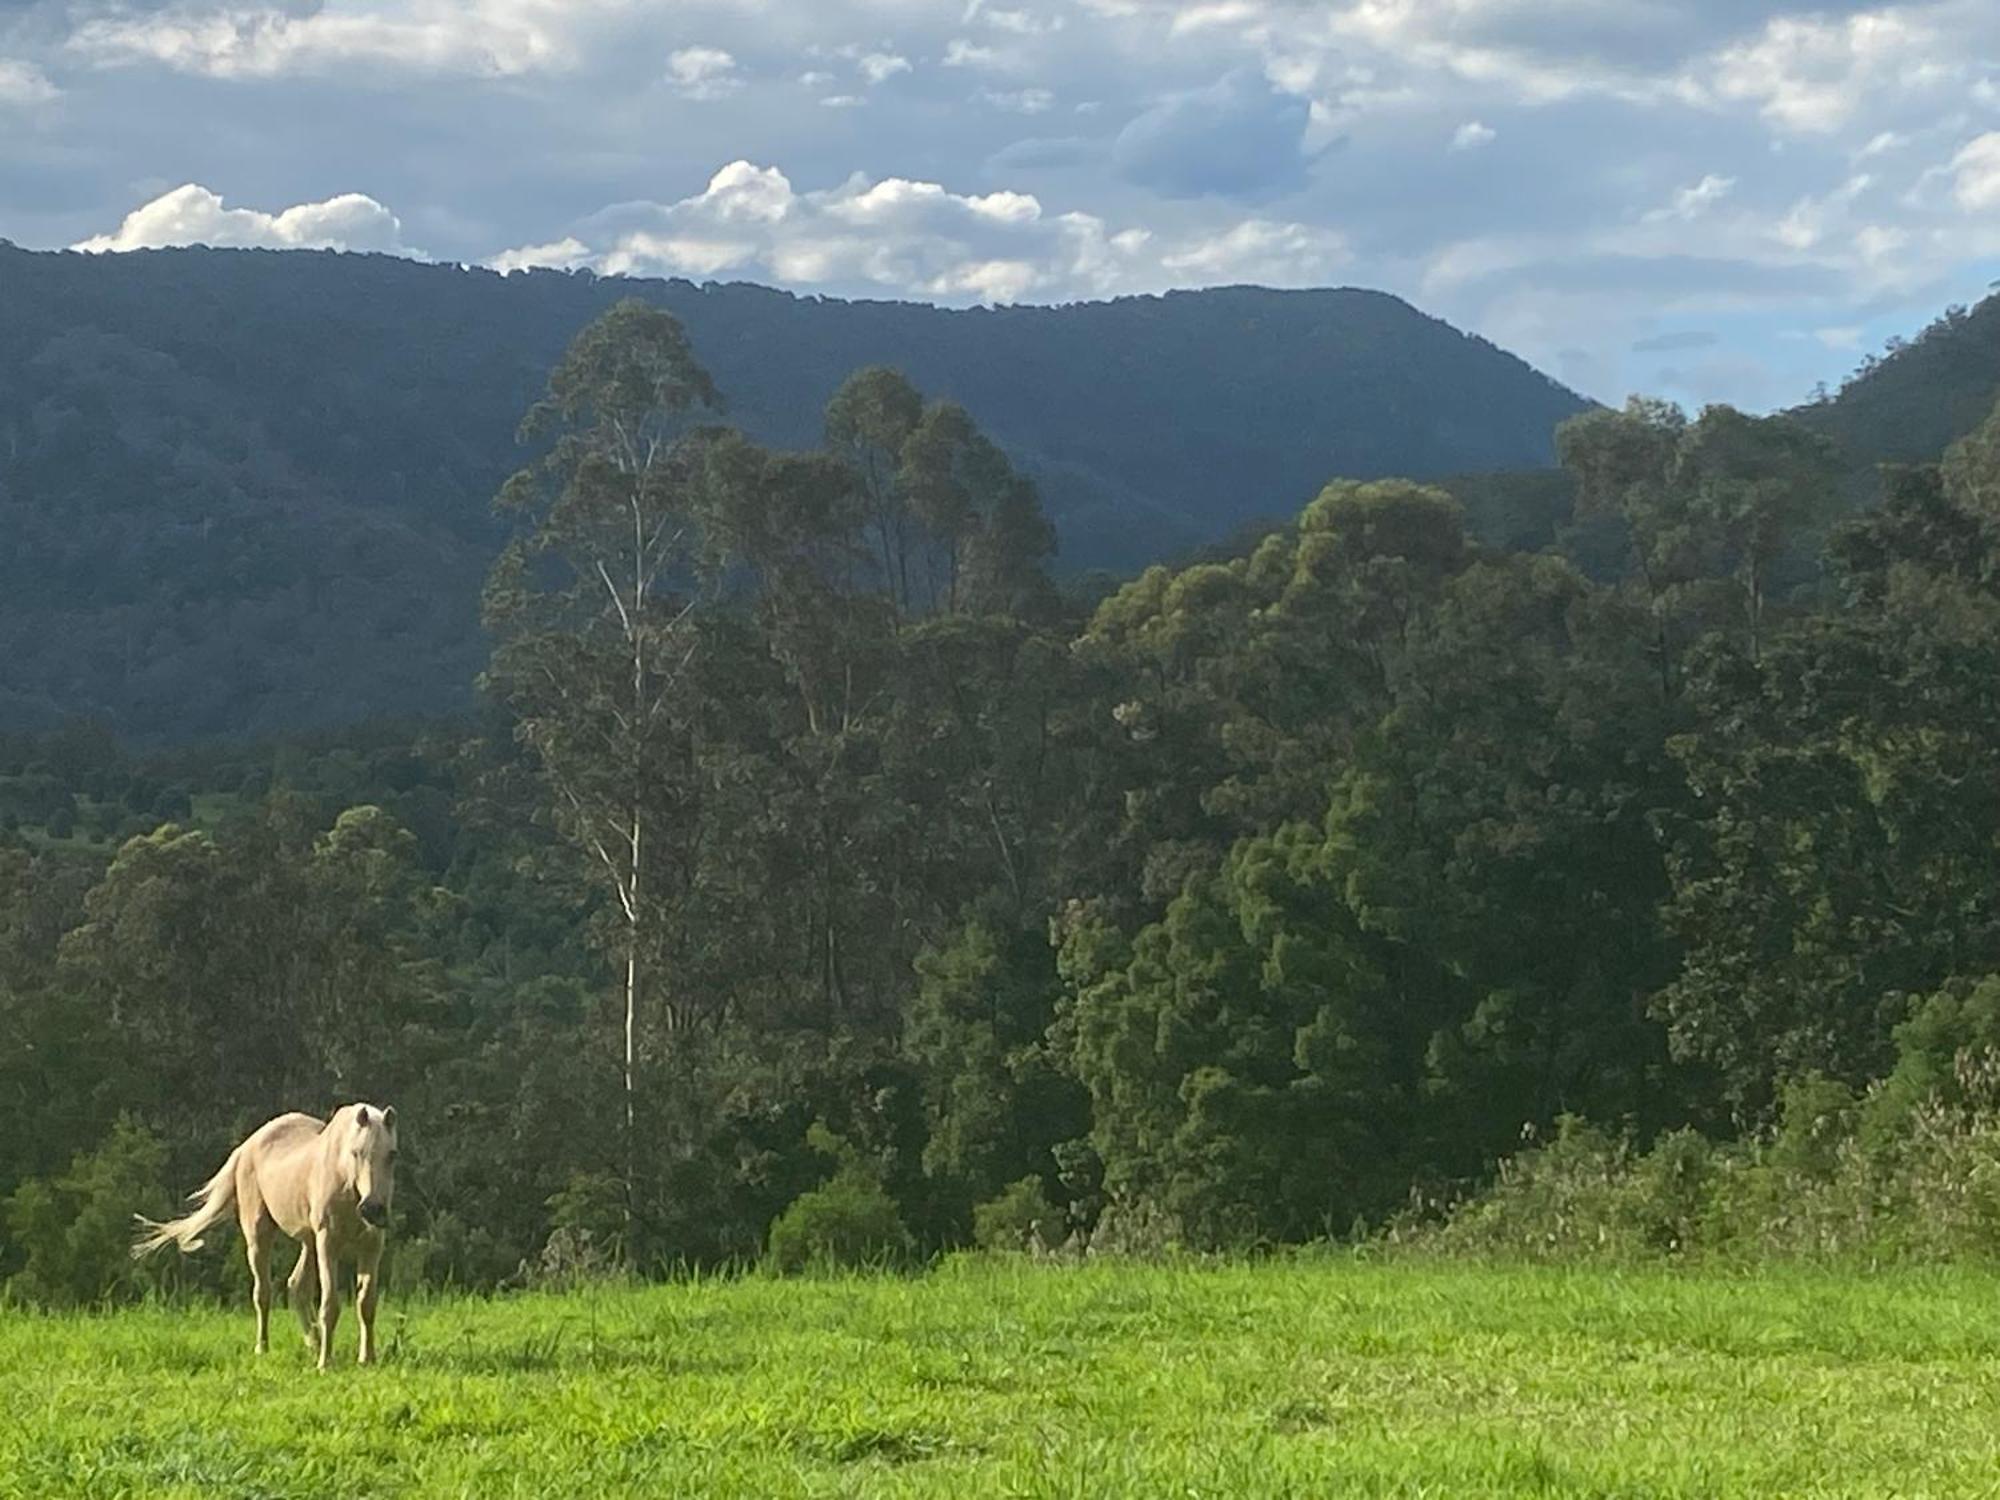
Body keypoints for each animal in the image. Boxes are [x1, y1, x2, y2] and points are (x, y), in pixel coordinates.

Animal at [135, 1104, 400, 1376]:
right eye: (356, 1152)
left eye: (392, 1155)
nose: (373, 1209)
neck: (344, 1179)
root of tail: (245, 1147)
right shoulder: (328, 1244)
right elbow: (330, 1306)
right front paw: (325, 1364)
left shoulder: (371, 1246)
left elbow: (366, 1304)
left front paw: (367, 1359)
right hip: (261, 1237)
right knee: (263, 1293)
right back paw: (263, 1349)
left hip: (308, 1242)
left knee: (296, 1287)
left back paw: (313, 1343)